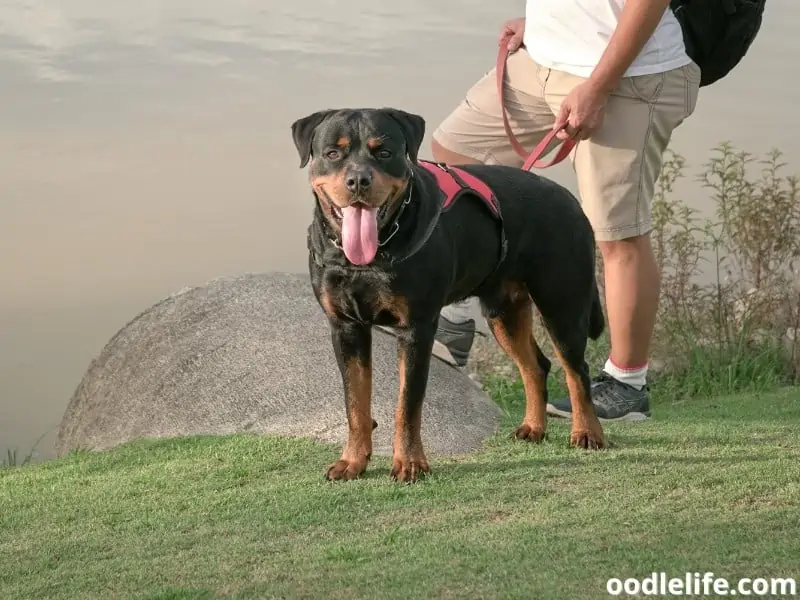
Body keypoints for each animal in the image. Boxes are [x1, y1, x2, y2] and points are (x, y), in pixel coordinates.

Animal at [292, 106, 608, 482]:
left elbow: (408, 404)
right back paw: (533, 427)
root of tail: (570, 199)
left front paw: (410, 463)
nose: (358, 180)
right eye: (332, 153)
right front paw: (352, 461)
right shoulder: (345, 327)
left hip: (562, 302)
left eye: (384, 152)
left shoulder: (416, 328)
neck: (372, 253)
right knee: (536, 366)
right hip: (504, 312)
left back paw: (587, 432)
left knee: (577, 370)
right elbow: (355, 403)